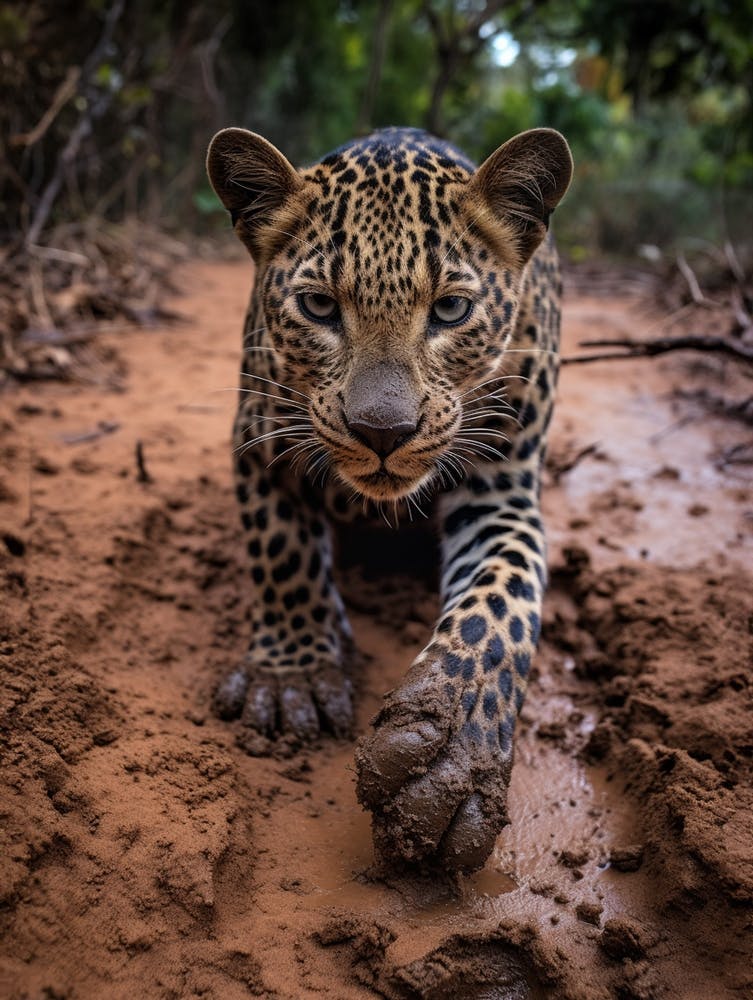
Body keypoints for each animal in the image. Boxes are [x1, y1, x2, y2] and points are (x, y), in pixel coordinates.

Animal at [206, 124, 572, 873]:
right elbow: (282, 557)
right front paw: (292, 678)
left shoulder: (503, 492)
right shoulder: (259, 444)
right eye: (319, 306)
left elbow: (503, 602)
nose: (382, 431)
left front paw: (453, 748)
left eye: (451, 309)